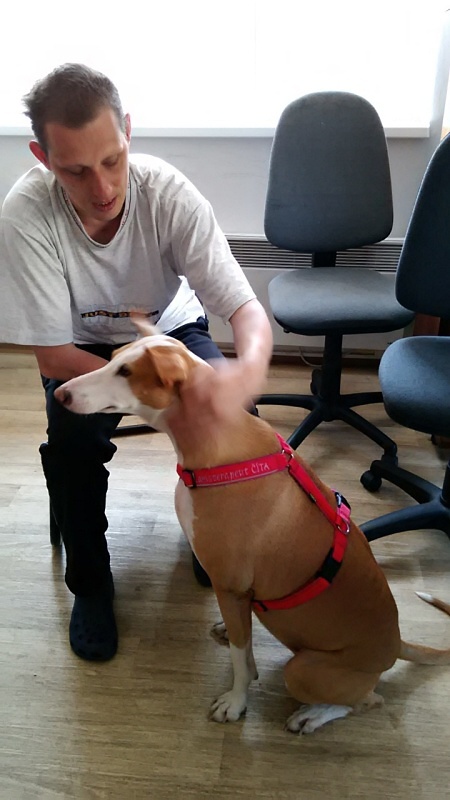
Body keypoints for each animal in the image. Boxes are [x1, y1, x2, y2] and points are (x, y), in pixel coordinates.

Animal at [54, 318, 450, 734]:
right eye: (112, 358)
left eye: (126, 372)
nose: (61, 393)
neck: (212, 441)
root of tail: (396, 643)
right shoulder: (235, 594)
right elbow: (243, 650)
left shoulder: (229, 585)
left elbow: (241, 661)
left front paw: (236, 702)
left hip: (303, 670)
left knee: (366, 701)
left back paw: (313, 714)